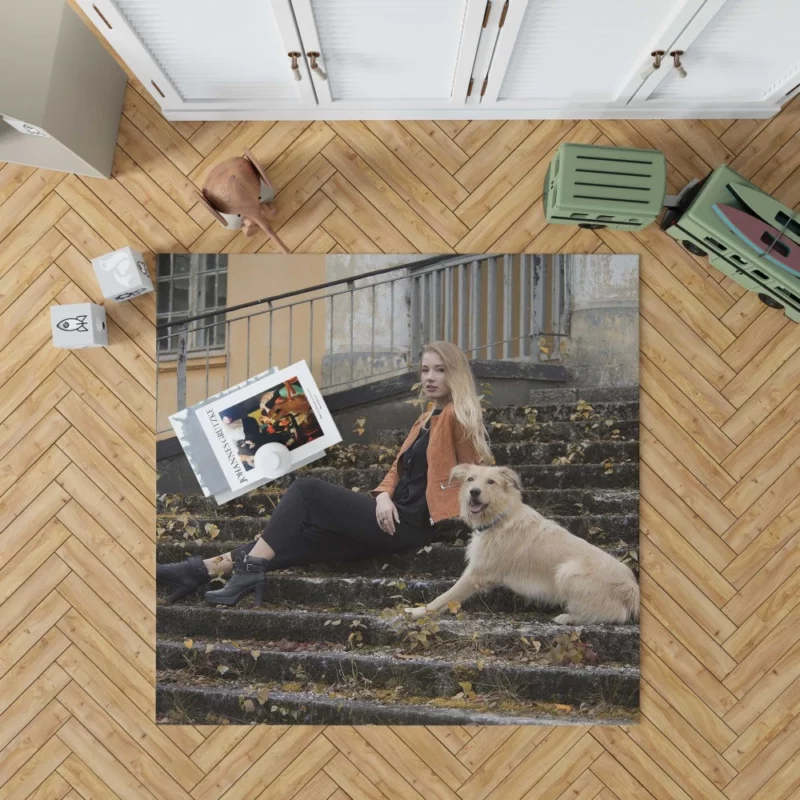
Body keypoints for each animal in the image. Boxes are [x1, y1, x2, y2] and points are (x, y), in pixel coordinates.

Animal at [406, 462, 636, 624]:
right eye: (470, 479)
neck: (501, 517)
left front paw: (418, 612)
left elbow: (445, 596)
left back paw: (568, 617)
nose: (474, 492)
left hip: (567, 570)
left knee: (615, 615)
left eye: (491, 482)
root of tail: (633, 589)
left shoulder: (476, 574)